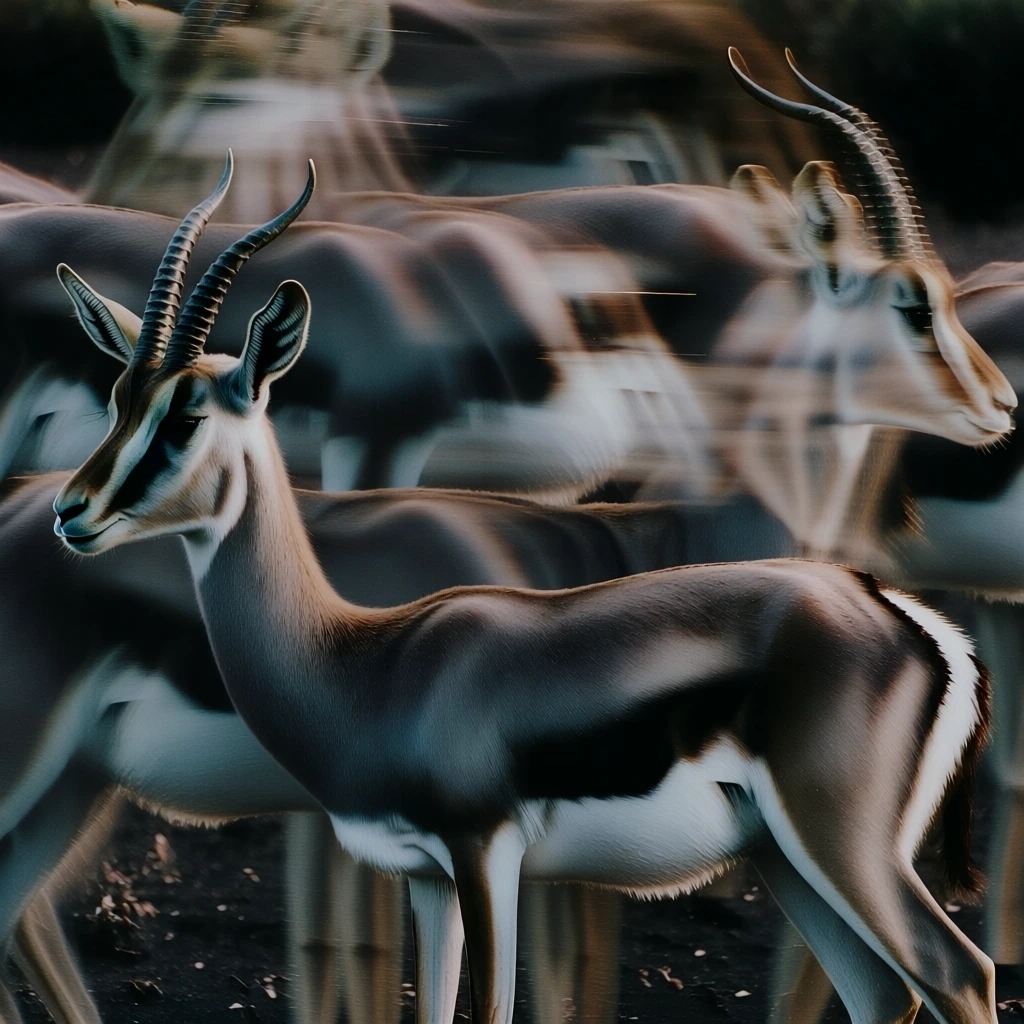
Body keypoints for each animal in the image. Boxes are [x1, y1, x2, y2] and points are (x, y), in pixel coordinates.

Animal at [47, 155, 1006, 1024]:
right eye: (120, 398)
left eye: (188, 414)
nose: (70, 511)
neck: (365, 660)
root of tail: (909, 619)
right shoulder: (427, 879)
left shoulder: (484, 853)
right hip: (785, 856)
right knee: (885, 992)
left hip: (843, 845)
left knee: (959, 973)